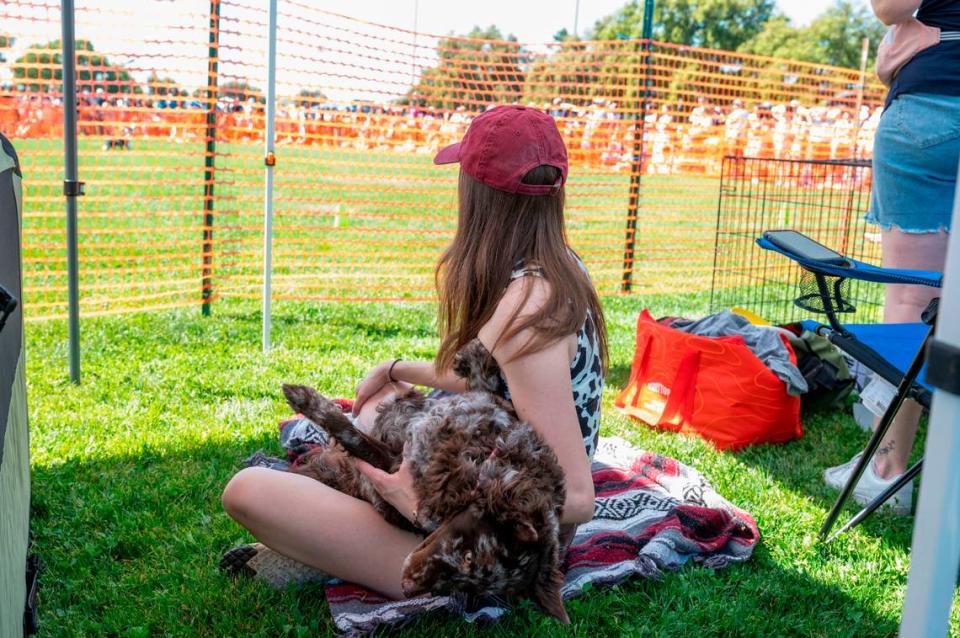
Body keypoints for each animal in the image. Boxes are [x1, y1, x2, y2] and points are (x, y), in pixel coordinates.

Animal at [284, 342, 568, 624]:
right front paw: (474, 353)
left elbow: (351, 436)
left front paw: (305, 401)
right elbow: (487, 383)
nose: (406, 589)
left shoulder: (392, 467)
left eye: (469, 587)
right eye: (468, 557)